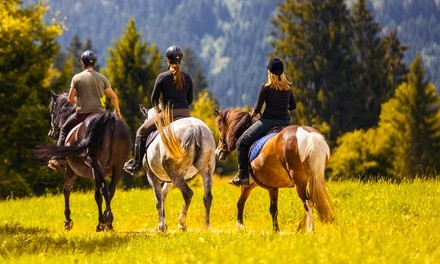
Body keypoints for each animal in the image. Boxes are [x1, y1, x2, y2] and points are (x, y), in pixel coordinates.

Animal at [32, 91, 131, 231]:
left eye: (52, 111)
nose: (51, 133)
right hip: (118, 166)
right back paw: (109, 222)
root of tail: (109, 119)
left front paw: (68, 221)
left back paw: (104, 223)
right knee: (110, 190)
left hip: (96, 165)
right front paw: (104, 220)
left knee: (103, 190)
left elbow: (67, 190)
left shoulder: (71, 171)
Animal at [139, 104, 217, 232]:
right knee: (207, 197)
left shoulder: (152, 176)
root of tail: (195, 129)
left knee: (187, 194)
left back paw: (182, 223)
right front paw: (164, 224)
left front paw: (161, 226)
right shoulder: (169, 181)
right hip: (206, 170)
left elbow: (158, 200)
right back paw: (206, 226)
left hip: (174, 171)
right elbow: (163, 195)